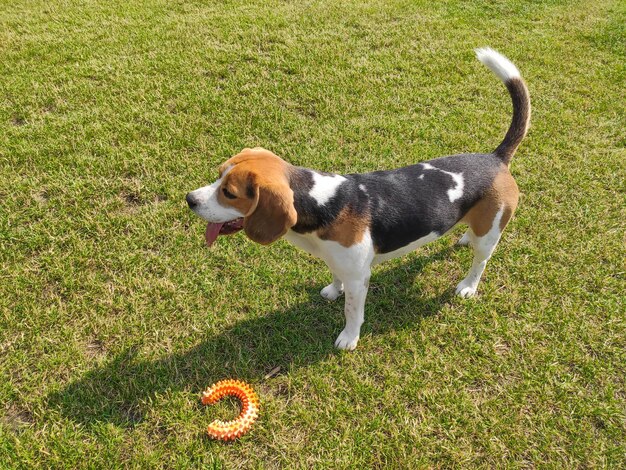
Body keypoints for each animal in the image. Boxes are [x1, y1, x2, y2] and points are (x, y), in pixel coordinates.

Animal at [184, 48, 528, 348]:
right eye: (218, 174)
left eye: (229, 193)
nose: (189, 199)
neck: (320, 202)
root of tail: (495, 158)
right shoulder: (338, 262)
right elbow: (335, 277)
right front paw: (331, 291)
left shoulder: (359, 277)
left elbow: (352, 311)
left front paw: (348, 339)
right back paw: (465, 237)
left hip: (491, 233)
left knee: (481, 262)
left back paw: (468, 286)